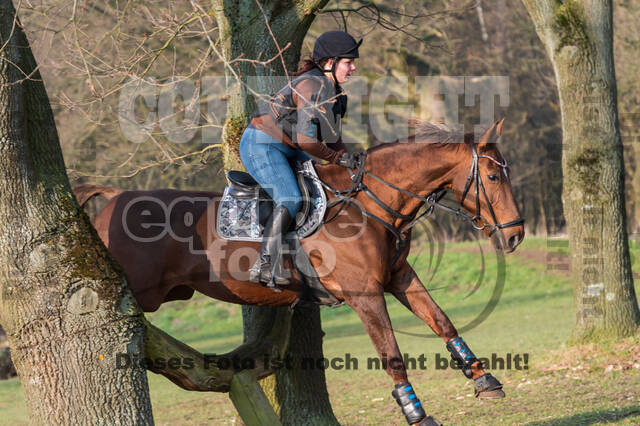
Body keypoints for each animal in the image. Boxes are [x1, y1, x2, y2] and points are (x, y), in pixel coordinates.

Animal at [75, 118, 524, 424]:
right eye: (492, 175)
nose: (516, 235)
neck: (371, 203)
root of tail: (115, 196)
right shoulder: (364, 293)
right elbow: (392, 354)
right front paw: (417, 413)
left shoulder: (398, 277)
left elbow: (441, 320)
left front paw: (483, 378)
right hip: (134, 290)